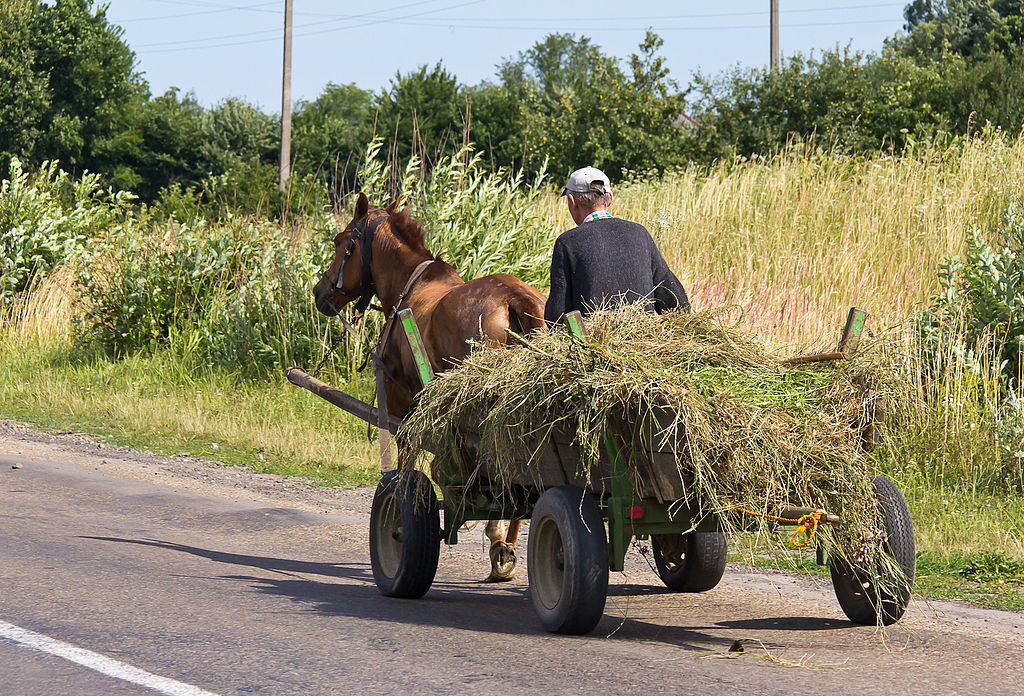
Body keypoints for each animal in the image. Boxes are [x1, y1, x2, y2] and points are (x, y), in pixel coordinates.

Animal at [311, 190, 548, 581]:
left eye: (340, 242)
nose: (320, 292)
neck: (409, 289)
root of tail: (515, 298)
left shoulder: (402, 404)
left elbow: (407, 464)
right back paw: (506, 551)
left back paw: (497, 537)